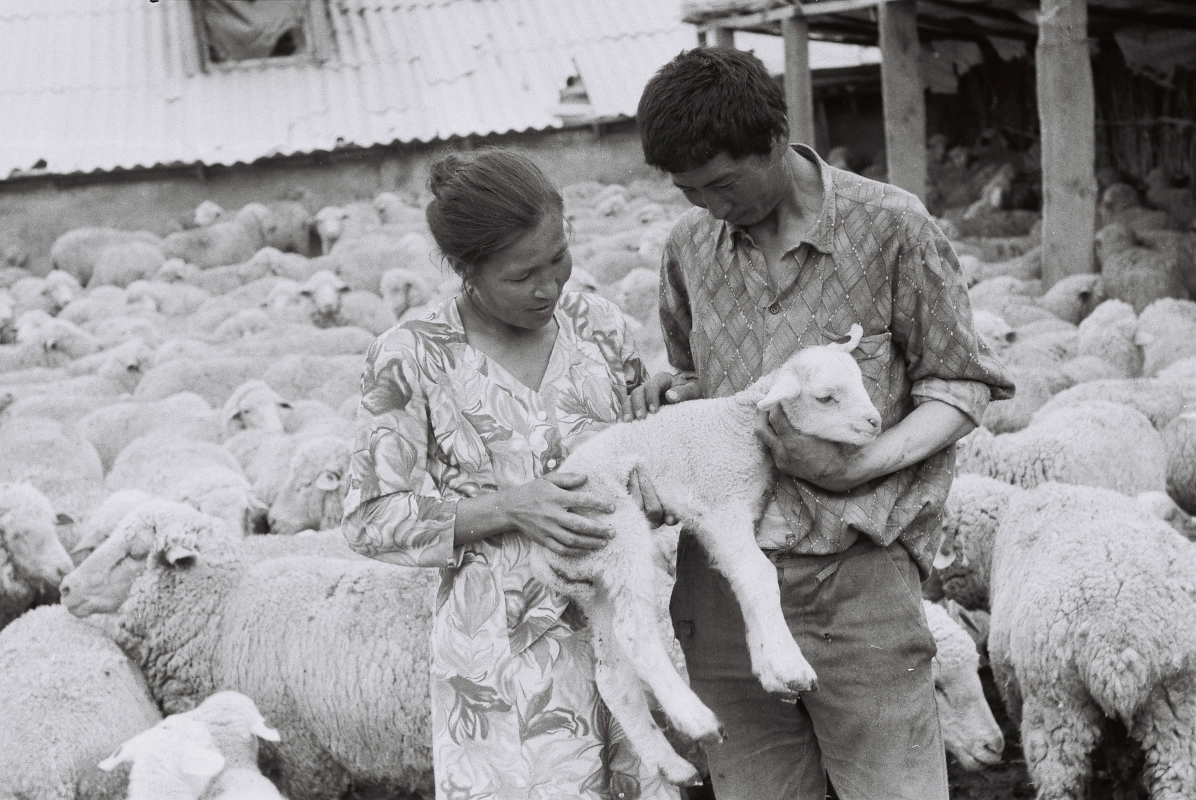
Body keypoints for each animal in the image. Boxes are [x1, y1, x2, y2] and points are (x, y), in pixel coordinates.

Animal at [514, 322, 880, 779]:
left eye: (860, 381)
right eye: (826, 398)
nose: (875, 422)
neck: (736, 424)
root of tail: (541, 559)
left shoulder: (727, 520)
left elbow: (746, 582)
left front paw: (767, 667)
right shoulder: (722, 504)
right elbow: (759, 577)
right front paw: (791, 667)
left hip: (596, 581)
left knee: (612, 676)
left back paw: (669, 764)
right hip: (618, 537)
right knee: (635, 632)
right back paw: (697, 721)